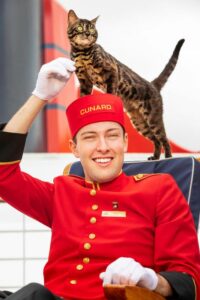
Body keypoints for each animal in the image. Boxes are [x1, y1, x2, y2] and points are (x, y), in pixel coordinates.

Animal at [67, 9, 184, 159]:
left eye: (92, 28)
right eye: (80, 27)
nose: (88, 34)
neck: (81, 53)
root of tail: (152, 84)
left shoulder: (111, 71)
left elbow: (111, 90)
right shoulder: (84, 81)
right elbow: (83, 96)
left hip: (153, 118)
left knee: (163, 138)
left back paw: (168, 157)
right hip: (139, 122)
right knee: (156, 140)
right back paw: (155, 157)